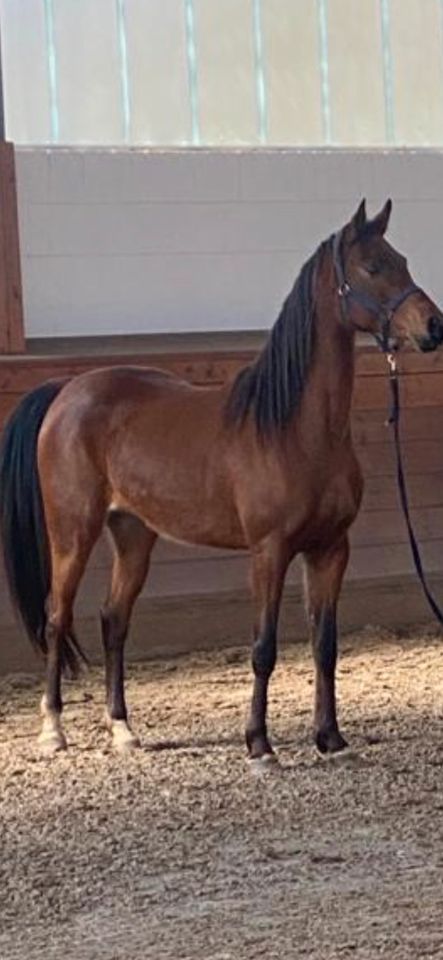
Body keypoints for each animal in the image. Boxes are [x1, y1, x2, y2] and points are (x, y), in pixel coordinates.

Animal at [0, 199, 443, 760]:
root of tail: (66, 390)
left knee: (114, 619)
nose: (434, 325)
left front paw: (330, 738)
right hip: (72, 533)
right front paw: (259, 745)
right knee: (57, 616)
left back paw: (122, 729)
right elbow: (263, 648)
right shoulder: (269, 551)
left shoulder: (329, 549)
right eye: (373, 267)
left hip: (133, 533)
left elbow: (325, 645)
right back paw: (53, 729)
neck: (293, 429)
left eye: (401, 260)